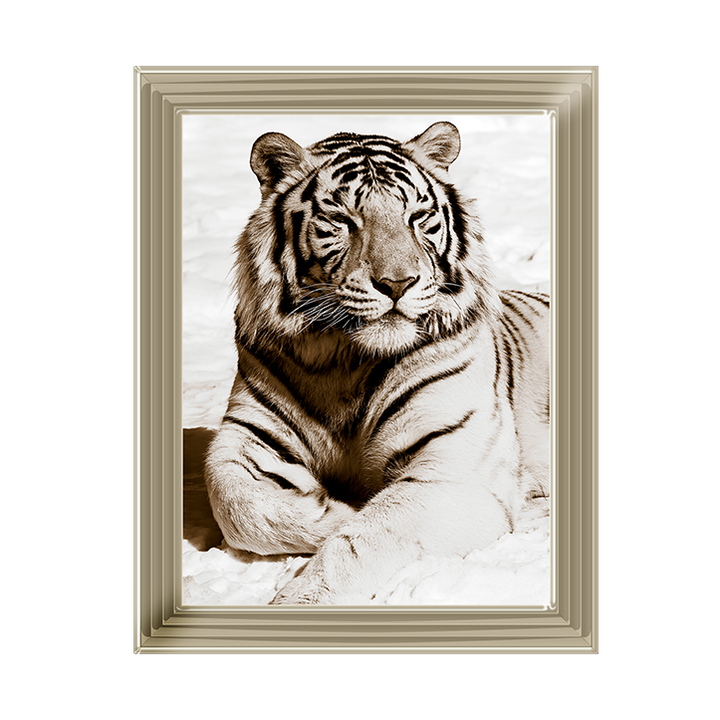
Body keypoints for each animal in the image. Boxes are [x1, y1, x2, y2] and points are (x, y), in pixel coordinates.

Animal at [204, 121, 550, 605]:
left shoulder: (454, 471)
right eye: (343, 221)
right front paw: (335, 508)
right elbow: (234, 504)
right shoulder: (247, 435)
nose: (398, 283)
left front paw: (302, 597)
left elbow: (365, 538)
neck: (344, 360)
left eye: (417, 218)